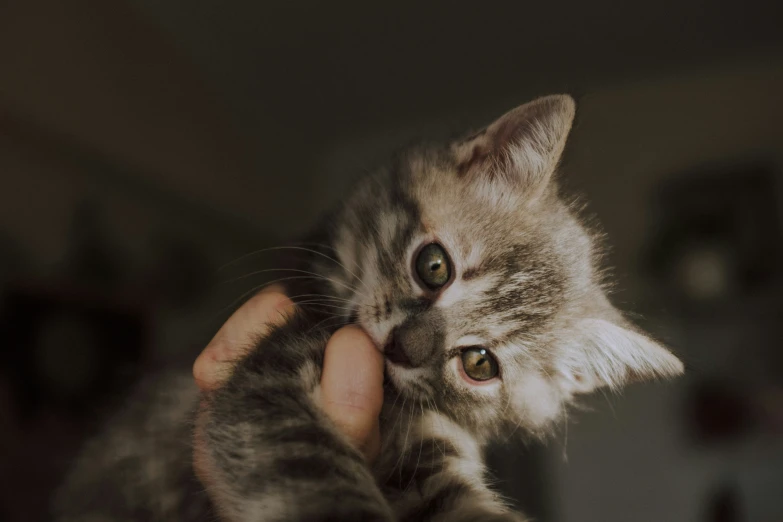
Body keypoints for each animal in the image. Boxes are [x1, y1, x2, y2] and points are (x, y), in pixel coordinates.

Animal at [52, 94, 684, 520]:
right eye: (434, 266)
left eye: (480, 363)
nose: (403, 348)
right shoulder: (268, 384)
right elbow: (311, 478)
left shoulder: (427, 460)